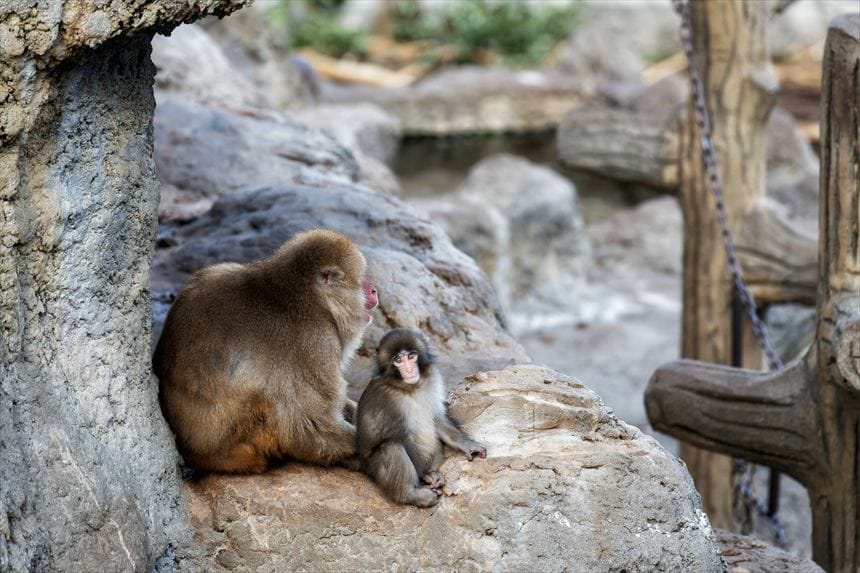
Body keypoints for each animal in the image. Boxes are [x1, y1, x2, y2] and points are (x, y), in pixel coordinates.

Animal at [153, 228, 378, 474]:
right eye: (361, 281)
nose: (373, 289)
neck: (306, 298)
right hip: (242, 445)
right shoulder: (315, 341)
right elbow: (310, 428)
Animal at [356, 328, 487, 507]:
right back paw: (411, 494)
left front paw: (465, 443)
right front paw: (426, 476)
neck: (409, 388)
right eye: (398, 360)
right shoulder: (385, 397)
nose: (410, 370)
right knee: (390, 445)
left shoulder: (433, 378)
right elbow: (400, 436)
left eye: (411, 356)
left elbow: (436, 418)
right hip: (374, 470)